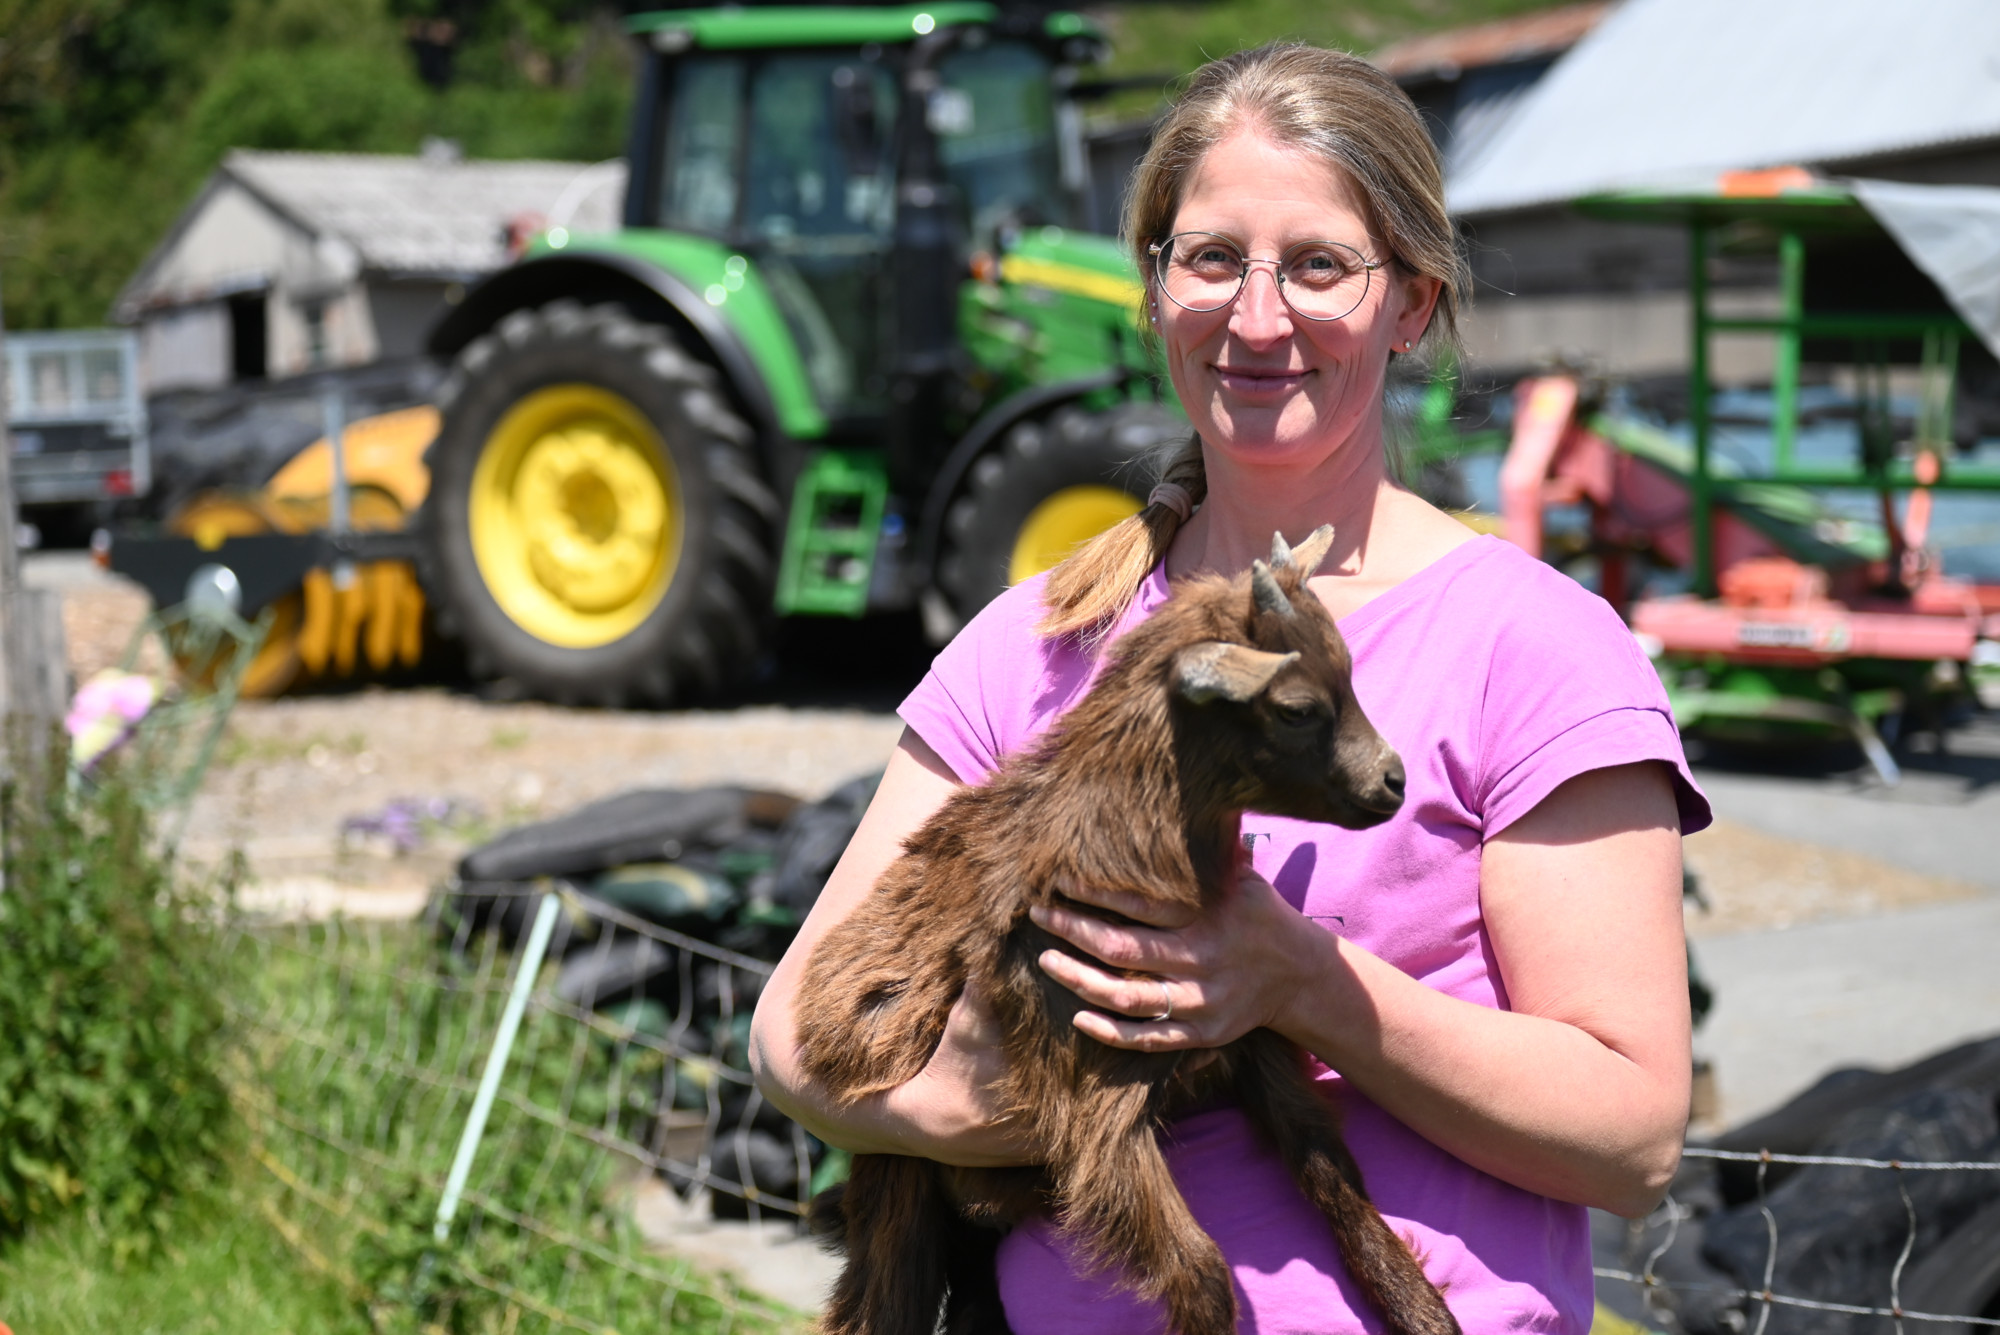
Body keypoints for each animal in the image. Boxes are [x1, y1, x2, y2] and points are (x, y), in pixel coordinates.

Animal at [795, 526, 1460, 1335]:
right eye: (1296, 708)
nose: (1392, 782)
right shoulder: (1091, 1091)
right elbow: (1200, 1271)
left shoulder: (1253, 1037)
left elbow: (1334, 1177)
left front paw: (1424, 1312)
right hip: (899, 1176)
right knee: (883, 1302)